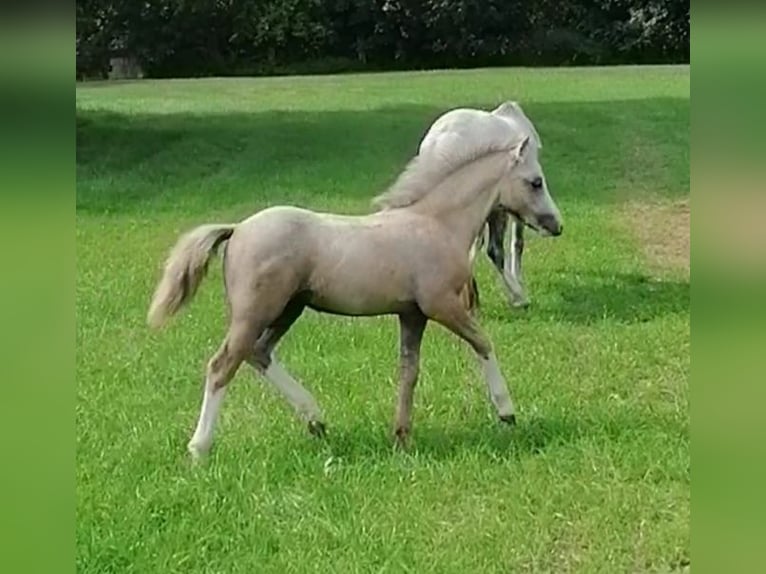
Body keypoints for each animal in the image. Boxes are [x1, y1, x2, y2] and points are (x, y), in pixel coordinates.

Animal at [148, 135, 564, 460]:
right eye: (535, 182)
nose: (556, 225)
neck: (436, 224)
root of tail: (237, 229)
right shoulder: (442, 305)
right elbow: (483, 343)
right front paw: (506, 412)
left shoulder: (412, 315)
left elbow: (409, 371)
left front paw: (401, 437)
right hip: (257, 312)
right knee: (223, 365)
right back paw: (200, 448)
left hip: (289, 309)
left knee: (258, 354)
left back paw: (317, 420)